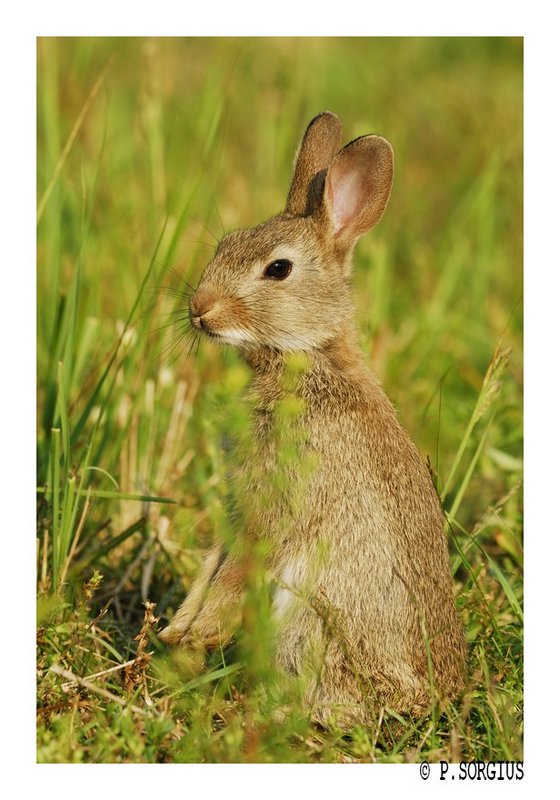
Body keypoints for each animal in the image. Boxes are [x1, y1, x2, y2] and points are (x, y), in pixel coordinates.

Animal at [159, 111, 466, 726]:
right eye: (225, 244)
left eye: (278, 269)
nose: (200, 311)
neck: (306, 358)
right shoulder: (238, 501)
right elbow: (212, 560)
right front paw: (177, 631)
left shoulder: (277, 505)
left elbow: (238, 567)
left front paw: (200, 633)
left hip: (309, 620)